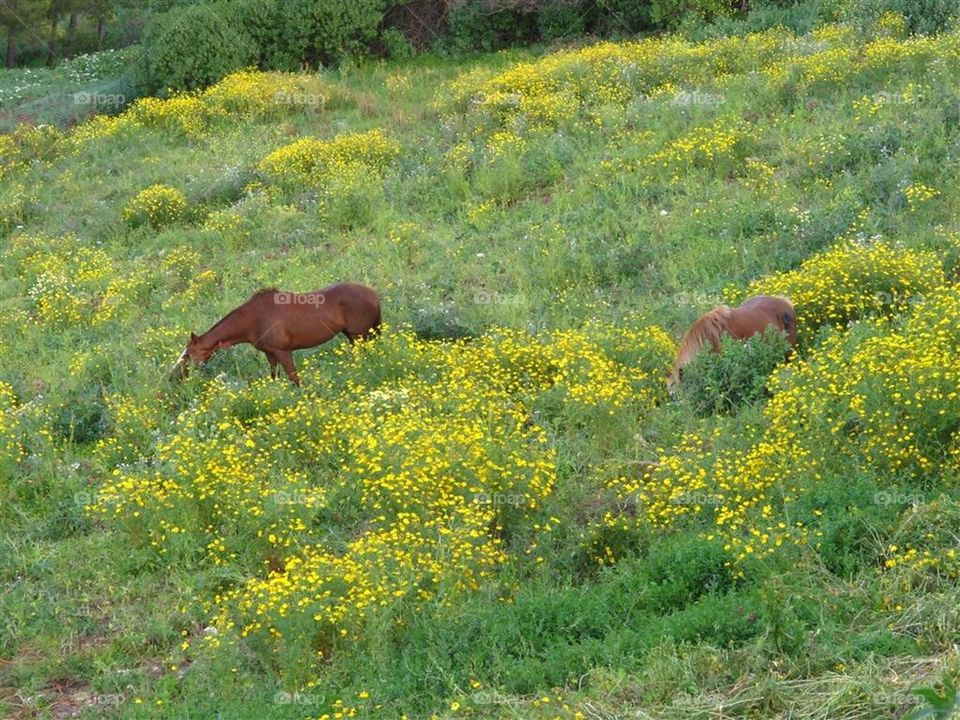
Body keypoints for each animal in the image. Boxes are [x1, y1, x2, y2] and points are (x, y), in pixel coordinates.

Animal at [170, 283, 381, 386]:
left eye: (188, 353)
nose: (176, 376)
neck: (253, 319)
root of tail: (374, 294)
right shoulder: (270, 354)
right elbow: (274, 377)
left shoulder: (283, 352)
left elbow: (295, 379)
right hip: (356, 336)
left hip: (359, 336)